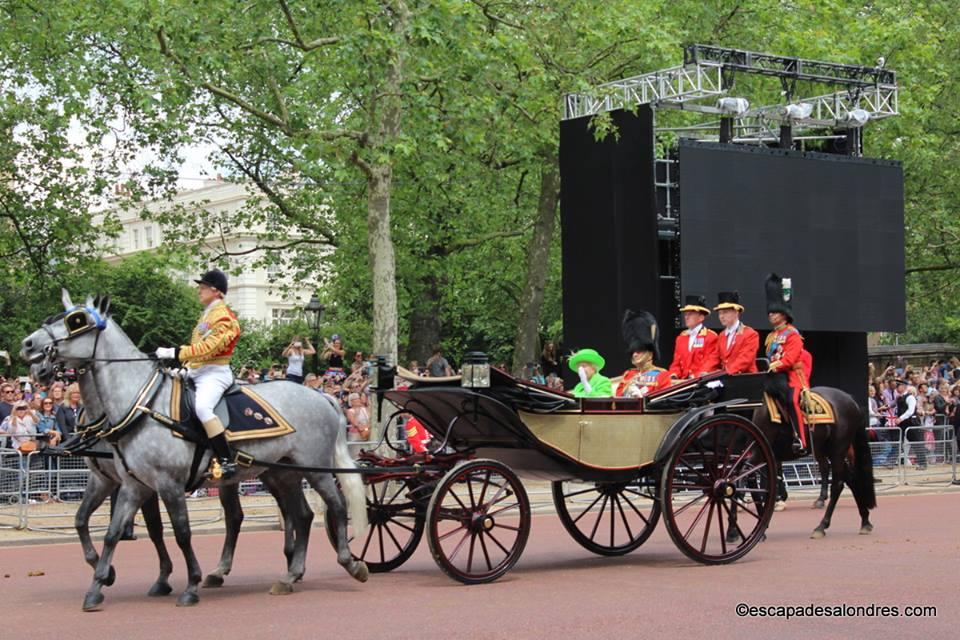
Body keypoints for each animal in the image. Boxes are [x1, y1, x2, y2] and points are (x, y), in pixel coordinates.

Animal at [23, 292, 368, 608]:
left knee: (335, 506)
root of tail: (320, 395)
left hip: (314, 469)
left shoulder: (167, 484)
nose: (29, 346)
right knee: (300, 515)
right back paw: (289, 573)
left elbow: (179, 532)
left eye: (76, 320)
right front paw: (100, 583)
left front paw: (187, 584)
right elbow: (106, 529)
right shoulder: (129, 484)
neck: (138, 405)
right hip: (282, 473)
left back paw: (349, 562)